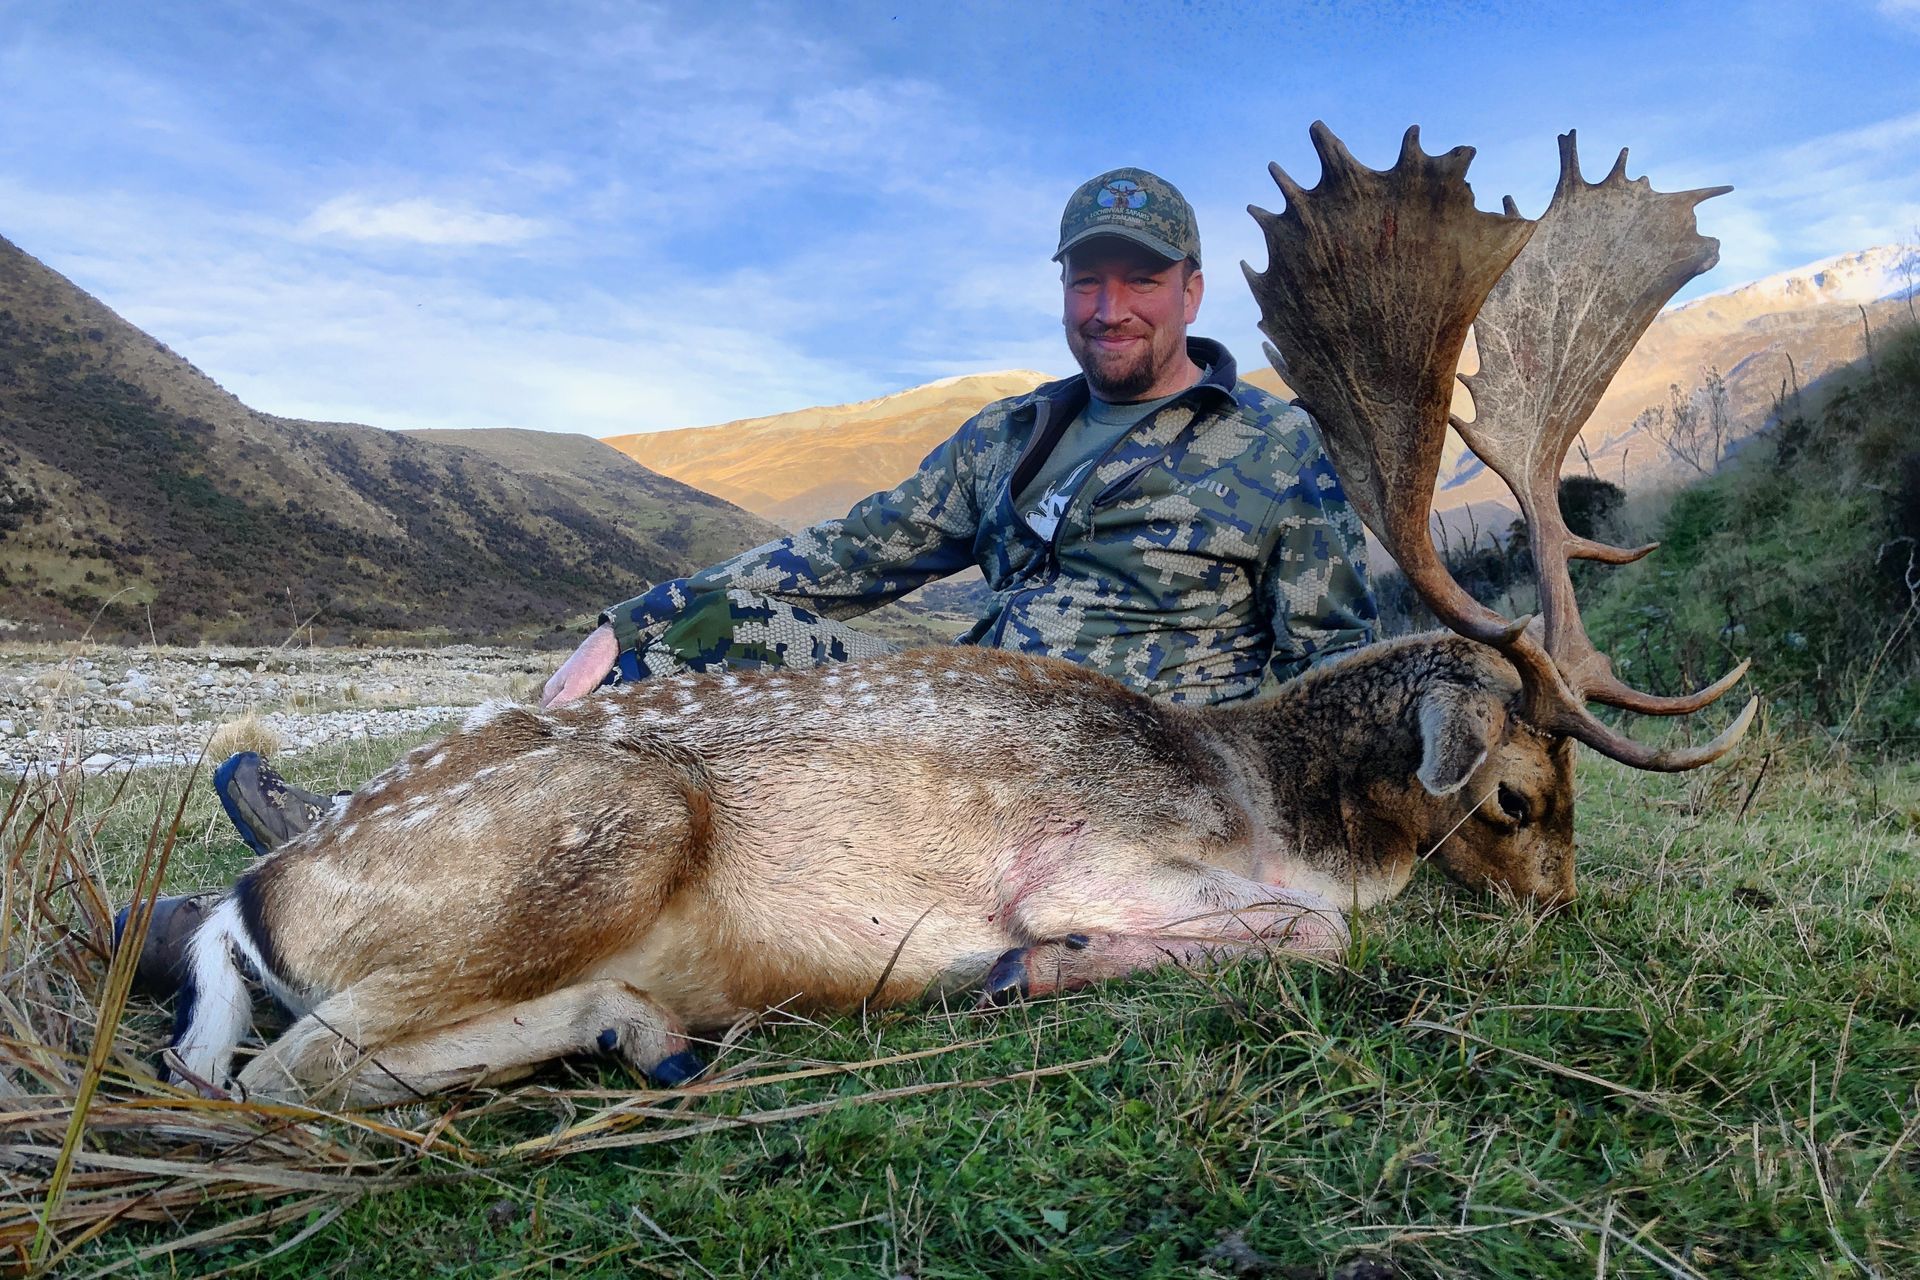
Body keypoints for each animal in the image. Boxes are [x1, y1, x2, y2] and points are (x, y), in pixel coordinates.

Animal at [168, 124, 1754, 1106]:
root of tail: (260, 898)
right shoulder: (1111, 861)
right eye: (1516, 793)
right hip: (599, 835)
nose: (1562, 911)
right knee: (283, 1073)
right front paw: (1030, 963)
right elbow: (1314, 939)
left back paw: (650, 1029)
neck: (1279, 801)